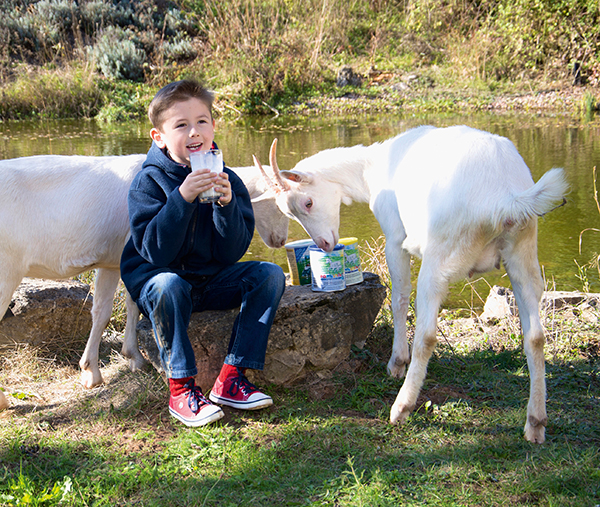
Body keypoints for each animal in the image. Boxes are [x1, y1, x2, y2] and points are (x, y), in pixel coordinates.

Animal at [0, 154, 290, 396]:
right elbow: (132, 303)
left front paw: (91, 372)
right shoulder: (134, 251)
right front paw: (135, 358)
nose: (281, 240)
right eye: (280, 207)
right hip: (7, 268)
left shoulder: (110, 261)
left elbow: (102, 311)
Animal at [255, 127, 568, 444]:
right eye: (290, 213)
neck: (371, 166)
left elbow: (399, 298)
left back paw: (401, 408)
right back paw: (535, 423)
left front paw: (396, 362)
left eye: (308, 202)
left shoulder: (395, 238)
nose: (325, 244)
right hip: (523, 252)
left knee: (427, 334)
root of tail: (504, 198)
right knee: (535, 336)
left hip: (440, 257)